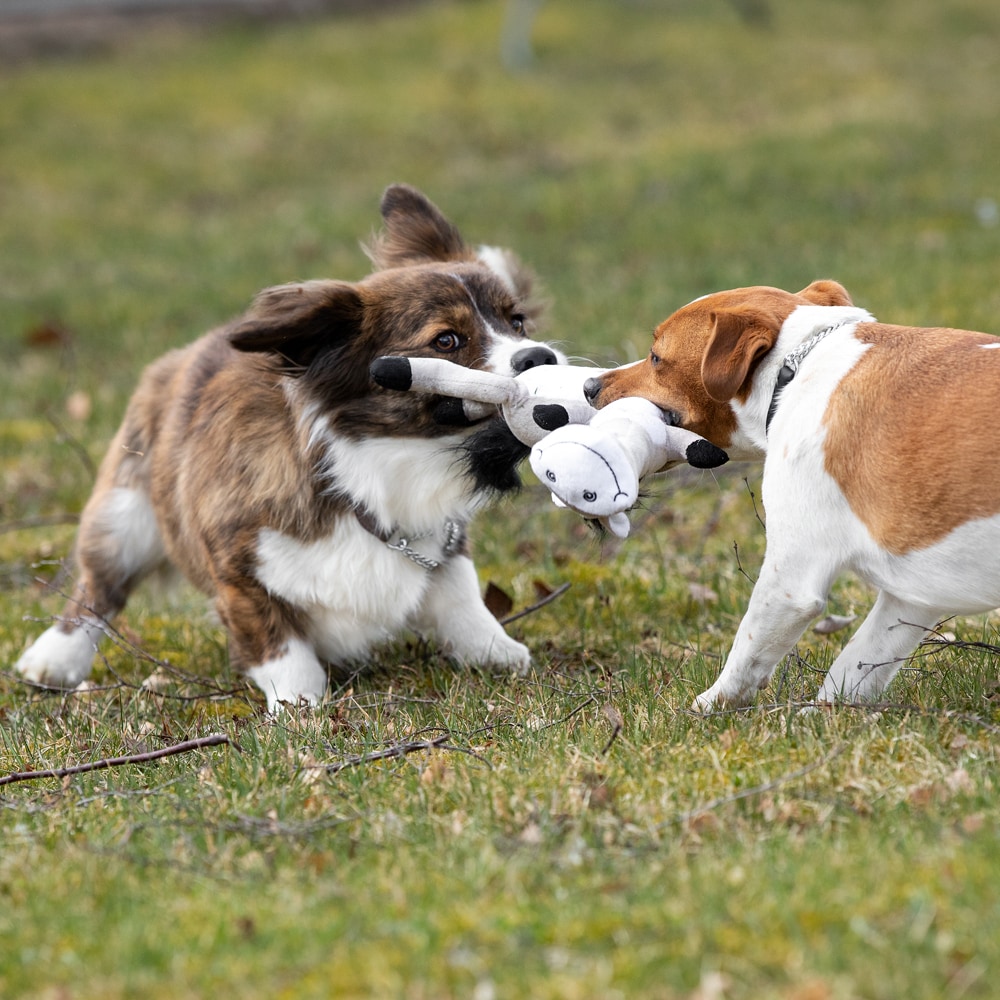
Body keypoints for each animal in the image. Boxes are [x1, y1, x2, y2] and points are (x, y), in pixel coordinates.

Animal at [15, 184, 564, 708]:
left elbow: (459, 594)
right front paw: (302, 705)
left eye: (516, 322)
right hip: (125, 517)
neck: (381, 464)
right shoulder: (239, 572)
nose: (540, 357)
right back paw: (55, 658)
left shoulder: (445, 543)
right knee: (97, 590)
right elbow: (280, 644)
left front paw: (494, 651)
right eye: (447, 341)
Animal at [584, 282, 1000, 712]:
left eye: (656, 357)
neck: (795, 365)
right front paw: (827, 715)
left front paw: (706, 708)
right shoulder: (912, 595)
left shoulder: (791, 577)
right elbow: (854, 665)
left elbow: (746, 651)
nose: (588, 387)